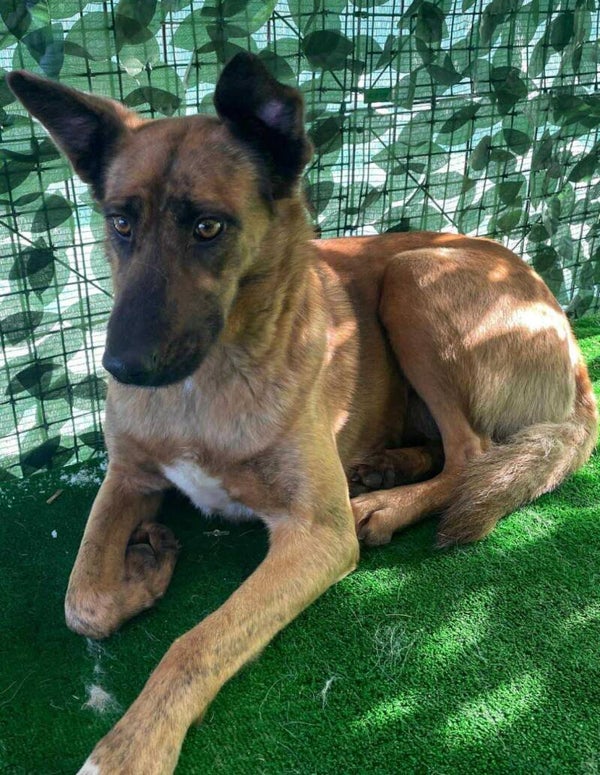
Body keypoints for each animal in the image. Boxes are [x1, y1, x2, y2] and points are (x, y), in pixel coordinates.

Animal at [8, 53, 597, 774]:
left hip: (412, 275)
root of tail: (568, 339)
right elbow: (82, 602)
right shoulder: (129, 475)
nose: (121, 368)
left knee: (474, 451)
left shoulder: (316, 534)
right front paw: (141, 574)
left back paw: (388, 504)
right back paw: (385, 469)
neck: (205, 389)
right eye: (120, 223)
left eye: (208, 226)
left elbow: (195, 643)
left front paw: (131, 747)